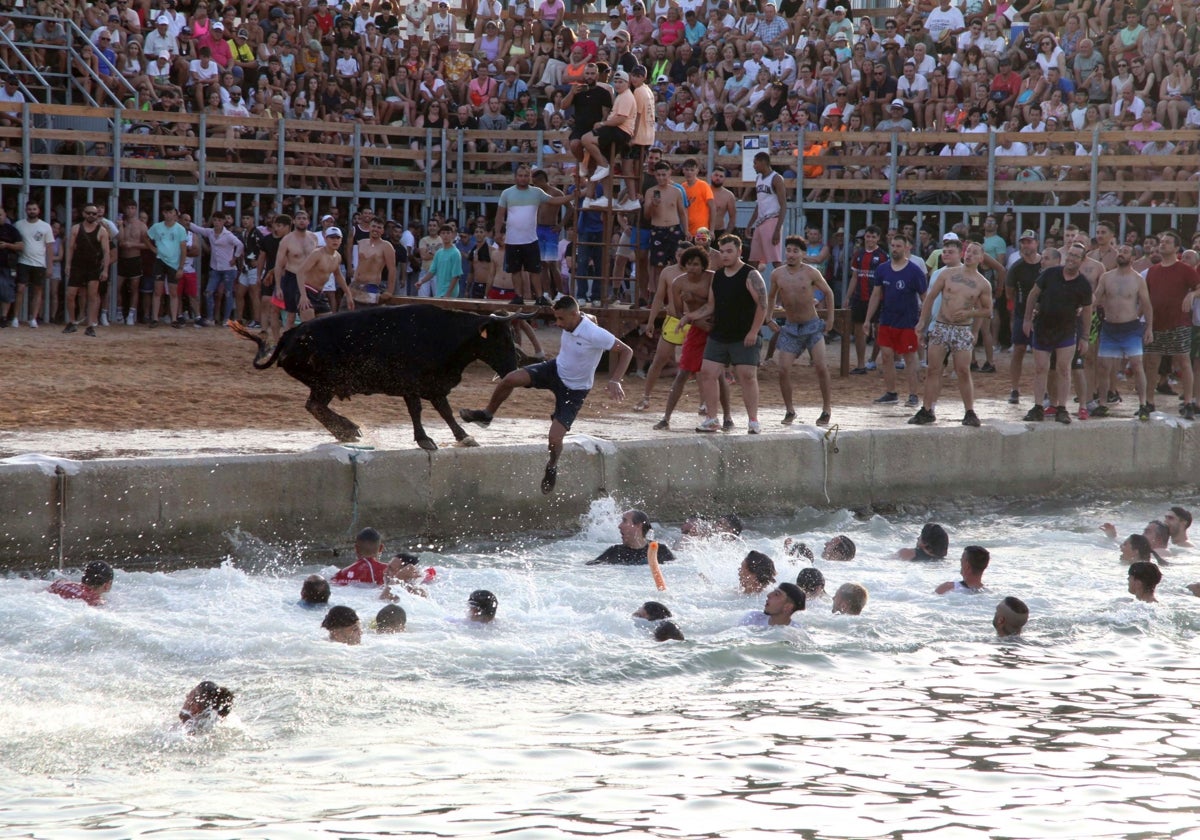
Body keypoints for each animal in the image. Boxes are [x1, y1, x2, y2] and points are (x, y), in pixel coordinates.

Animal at [228, 307, 535, 453]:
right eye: (500, 338)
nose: (513, 366)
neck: (446, 334)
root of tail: (290, 334)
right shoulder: (410, 384)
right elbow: (417, 410)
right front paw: (425, 440)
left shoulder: (434, 385)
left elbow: (445, 411)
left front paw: (464, 436)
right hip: (326, 383)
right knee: (314, 406)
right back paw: (348, 429)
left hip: (324, 385)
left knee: (315, 406)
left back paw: (346, 430)